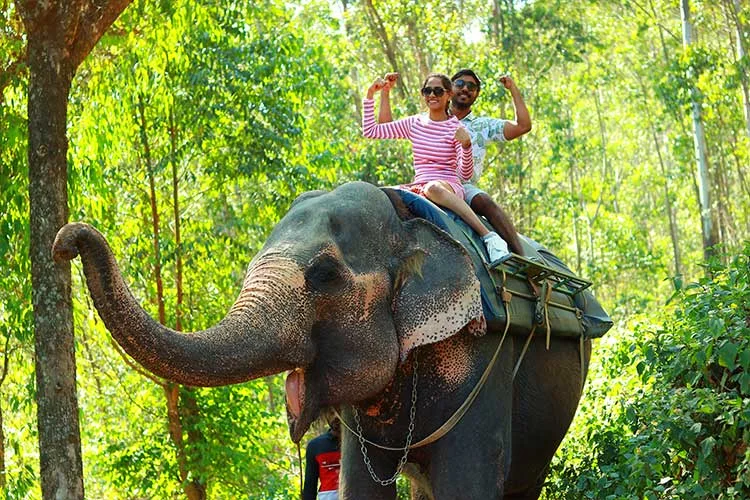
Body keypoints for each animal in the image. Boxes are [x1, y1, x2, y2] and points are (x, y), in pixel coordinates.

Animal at [52, 181, 590, 499]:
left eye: (325, 275)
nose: (65, 241)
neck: (405, 221)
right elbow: (359, 483)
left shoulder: (482, 355)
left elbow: (468, 480)